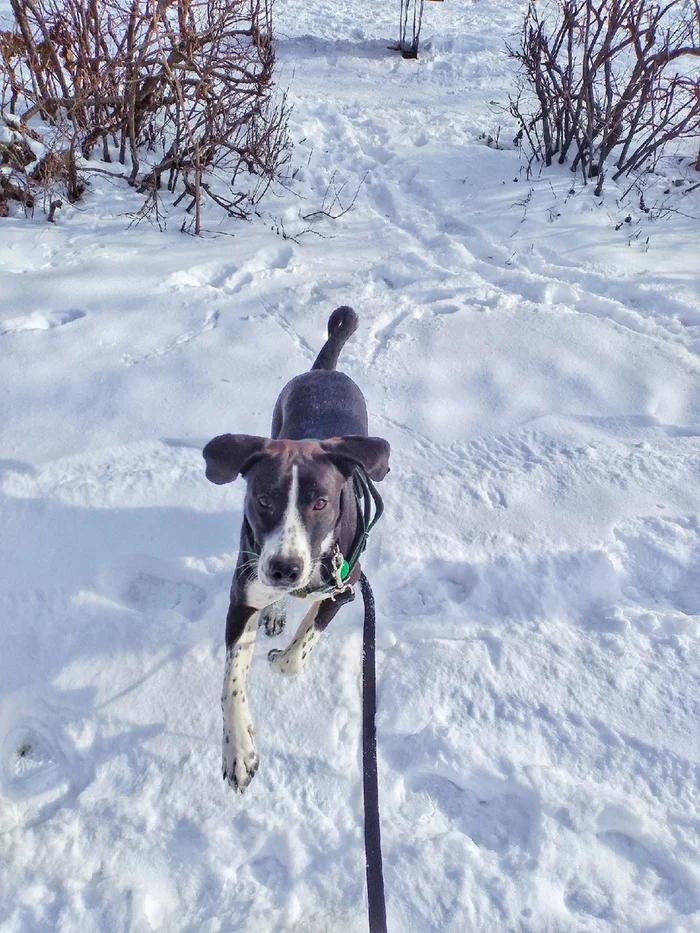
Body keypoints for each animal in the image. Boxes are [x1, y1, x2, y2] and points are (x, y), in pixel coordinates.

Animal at [202, 310, 392, 792]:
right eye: (263, 499)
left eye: (321, 502)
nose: (285, 569)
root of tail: (324, 369)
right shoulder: (243, 596)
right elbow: (231, 683)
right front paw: (239, 749)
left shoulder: (345, 588)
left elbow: (298, 652)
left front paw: (281, 655)